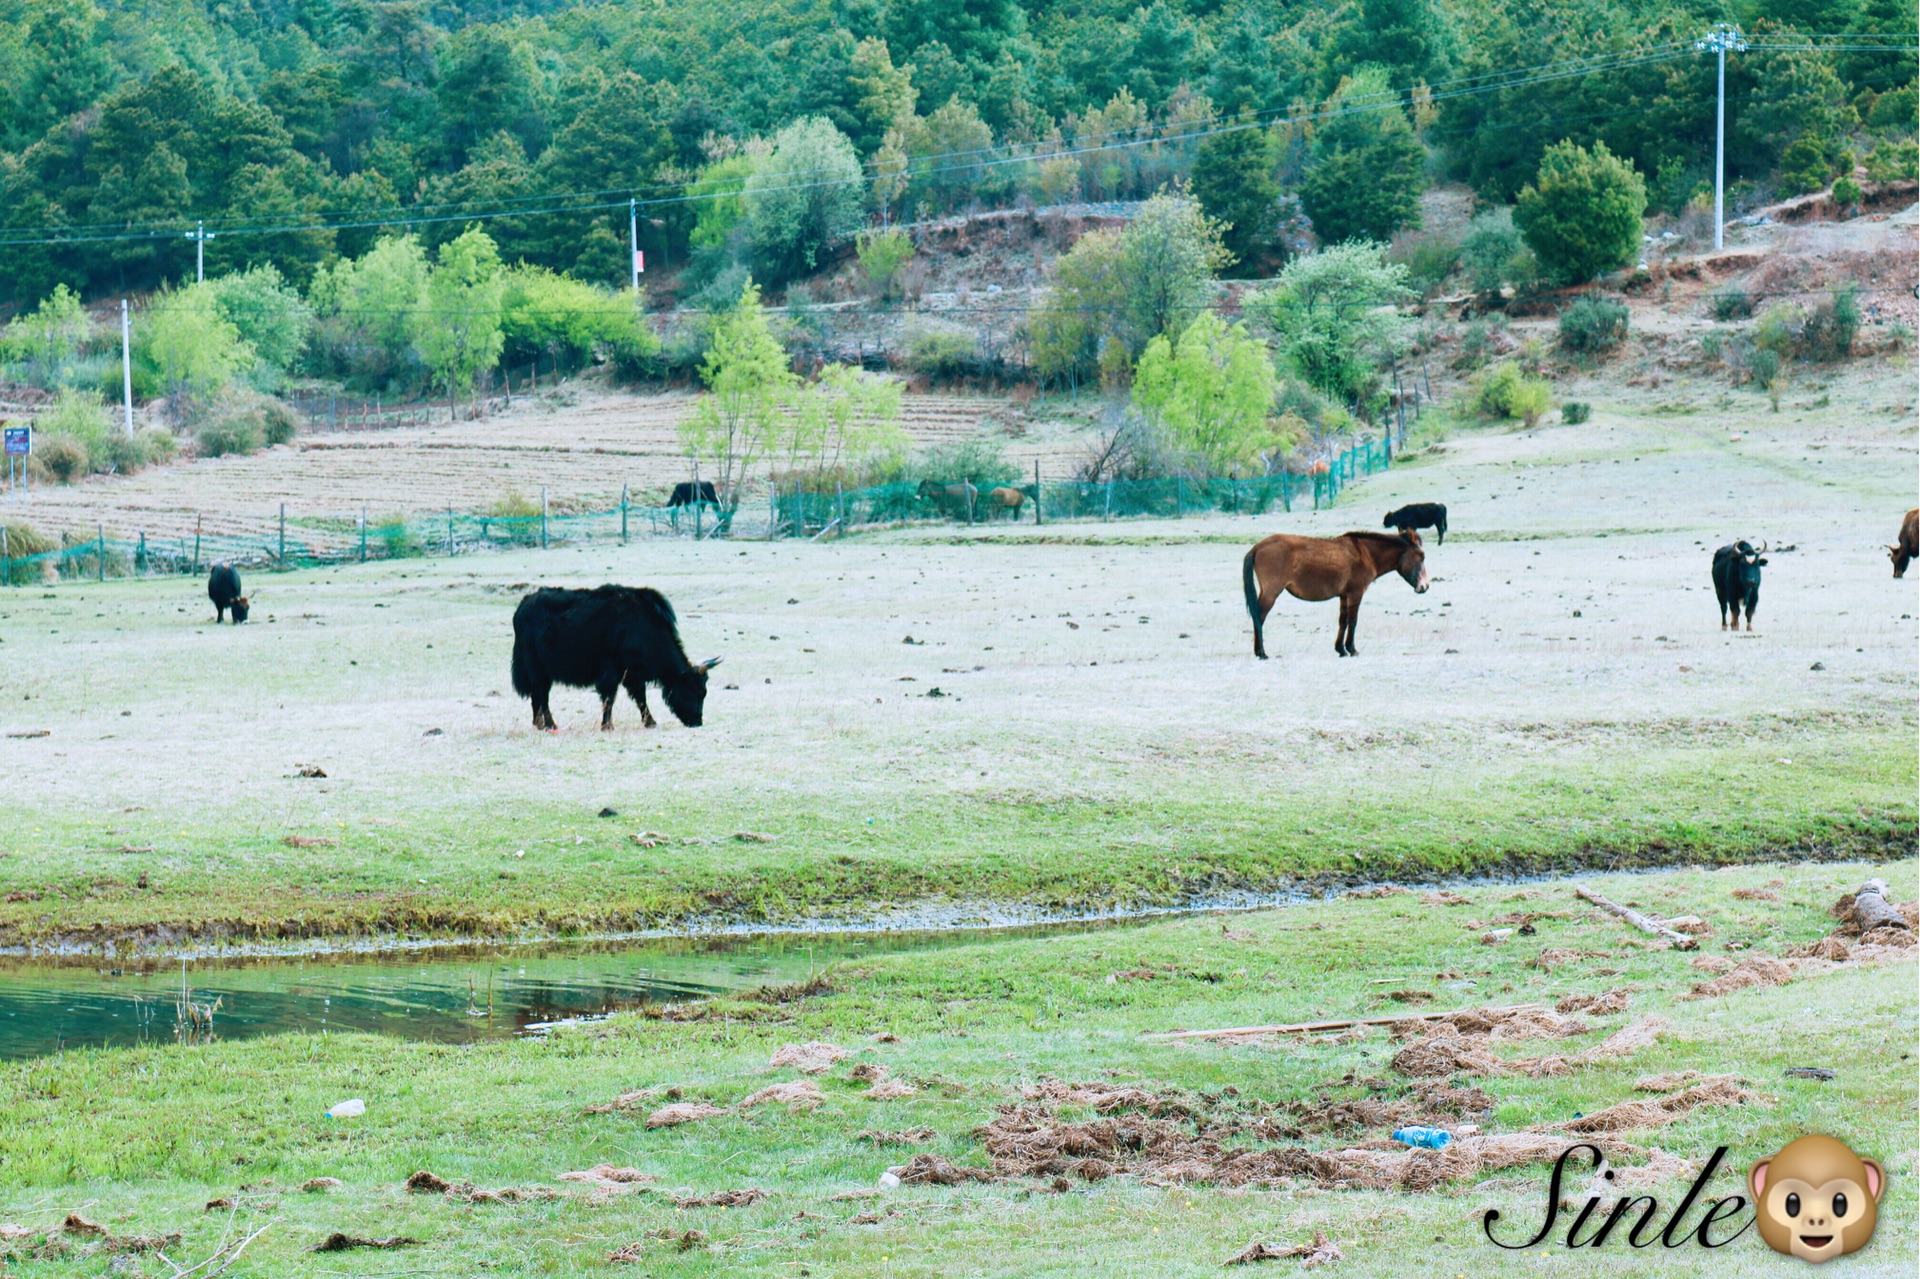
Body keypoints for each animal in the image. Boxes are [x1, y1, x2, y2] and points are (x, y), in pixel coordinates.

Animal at [510, 583, 721, 725]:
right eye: (696, 690)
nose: (697, 721)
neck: (643, 625)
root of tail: (522, 606)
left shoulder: (633, 673)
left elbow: (640, 698)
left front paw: (650, 723)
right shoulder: (612, 670)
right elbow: (610, 696)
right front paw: (607, 726)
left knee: (537, 696)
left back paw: (539, 725)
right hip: (537, 669)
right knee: (541, 695)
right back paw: (550, 725)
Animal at [1244, 526, 1428, 656]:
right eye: (1422, 556)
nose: (1424, 586)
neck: (1365, 553)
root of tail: (1258, 546)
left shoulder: (1344, 595)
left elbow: (1343, 621)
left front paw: (1340, 649)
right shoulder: (1356, 593)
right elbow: (1353, 621)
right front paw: (1352, 649)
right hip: (1271, 593)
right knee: (1259, 617)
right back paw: (1261, 653)